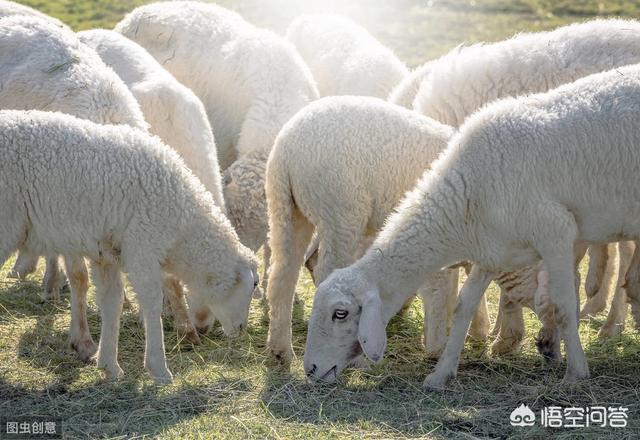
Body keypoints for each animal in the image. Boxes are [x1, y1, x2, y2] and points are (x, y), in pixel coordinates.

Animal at [0, 109, 260, 382]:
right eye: (254, 284)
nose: (241, 328)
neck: (183, 229)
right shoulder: (142, 247)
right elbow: (152, 303)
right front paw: (158, 368)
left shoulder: (106, 253)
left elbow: (112, 303)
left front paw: (109, 365)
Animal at [264, 97, 490, 364]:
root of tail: (286, 148)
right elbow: (441, 285)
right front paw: (439, 345)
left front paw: (475, 329)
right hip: (340, 209)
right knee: (327, 271)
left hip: (286, 208)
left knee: (282, 273)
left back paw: (280, 350)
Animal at [302, 63, 640, 386]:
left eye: (340, 313)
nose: (311, 369)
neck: (465, 194)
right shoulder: (494, 250)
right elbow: (463, 306)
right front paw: (440, 374)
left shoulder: (556, 233)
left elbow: (565, 305)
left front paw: (576, 372)